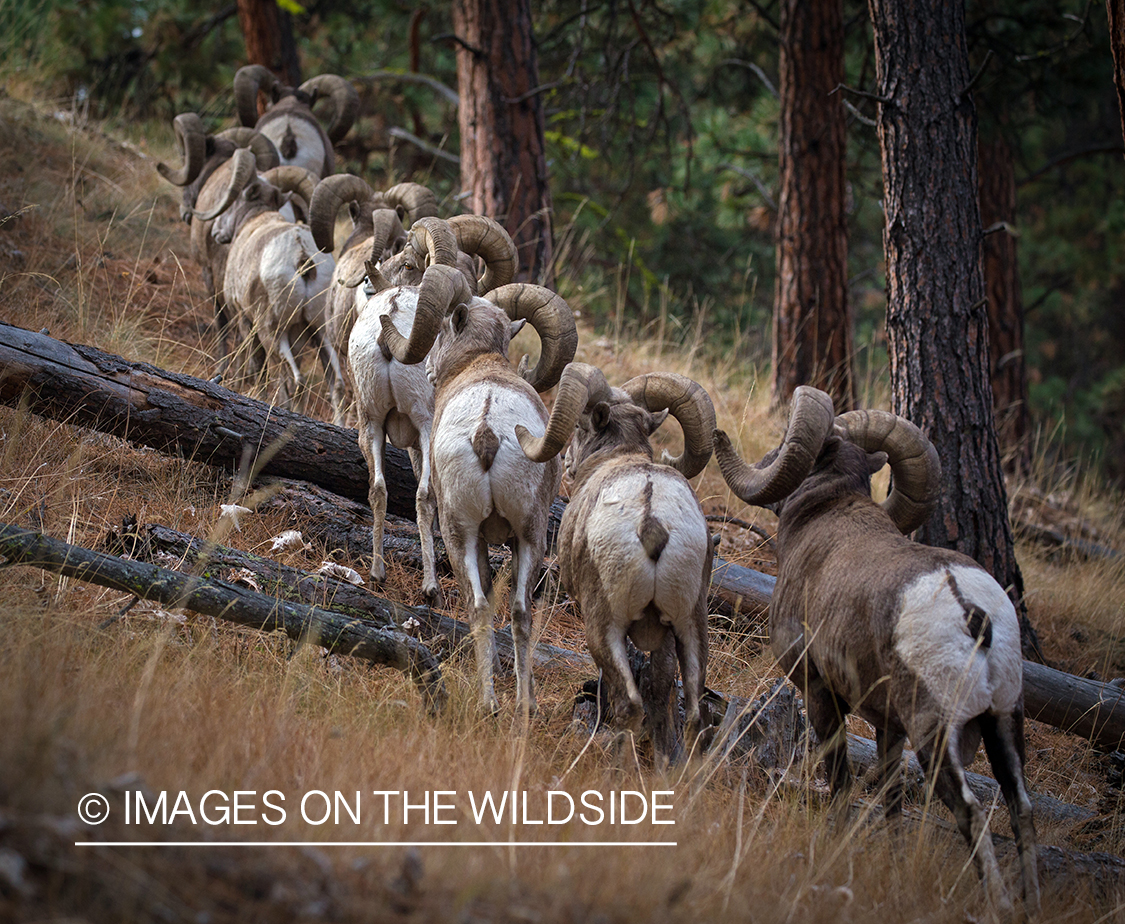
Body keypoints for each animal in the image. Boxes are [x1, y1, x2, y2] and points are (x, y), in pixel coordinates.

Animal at [209, 171, 341, 416]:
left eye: (234, 200)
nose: (215, 231)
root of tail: (301, 254)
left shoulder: (245, 321)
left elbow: (257, 370)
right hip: (320, 331)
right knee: (335, 383)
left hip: (272, 332)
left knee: (289, 380)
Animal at [377, 275, 578, 714]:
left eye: (439, 331)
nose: (429, 369)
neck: (480, 365)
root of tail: (486, 428)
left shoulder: (479, 538)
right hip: (531, 536)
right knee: (519, 612)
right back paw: (525, 705)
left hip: (460, 534)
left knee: (478, 606)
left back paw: (488, 703)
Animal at [516, 362, 716, 763]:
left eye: (580, 426)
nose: (569, 465)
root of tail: (652, 521)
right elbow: (661, 689)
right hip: (691, 624)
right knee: (695, 716)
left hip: (603, 625)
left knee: (629, 706)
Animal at [712, 386, 1039, 915]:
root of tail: (970, 611)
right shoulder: (889, 725)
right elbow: (889, 800)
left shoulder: (820, 694)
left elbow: (840, 782)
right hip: (1004, 723)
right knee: (1021, 809)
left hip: (936, 736)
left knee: (971, 813)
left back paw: (1001, 906)